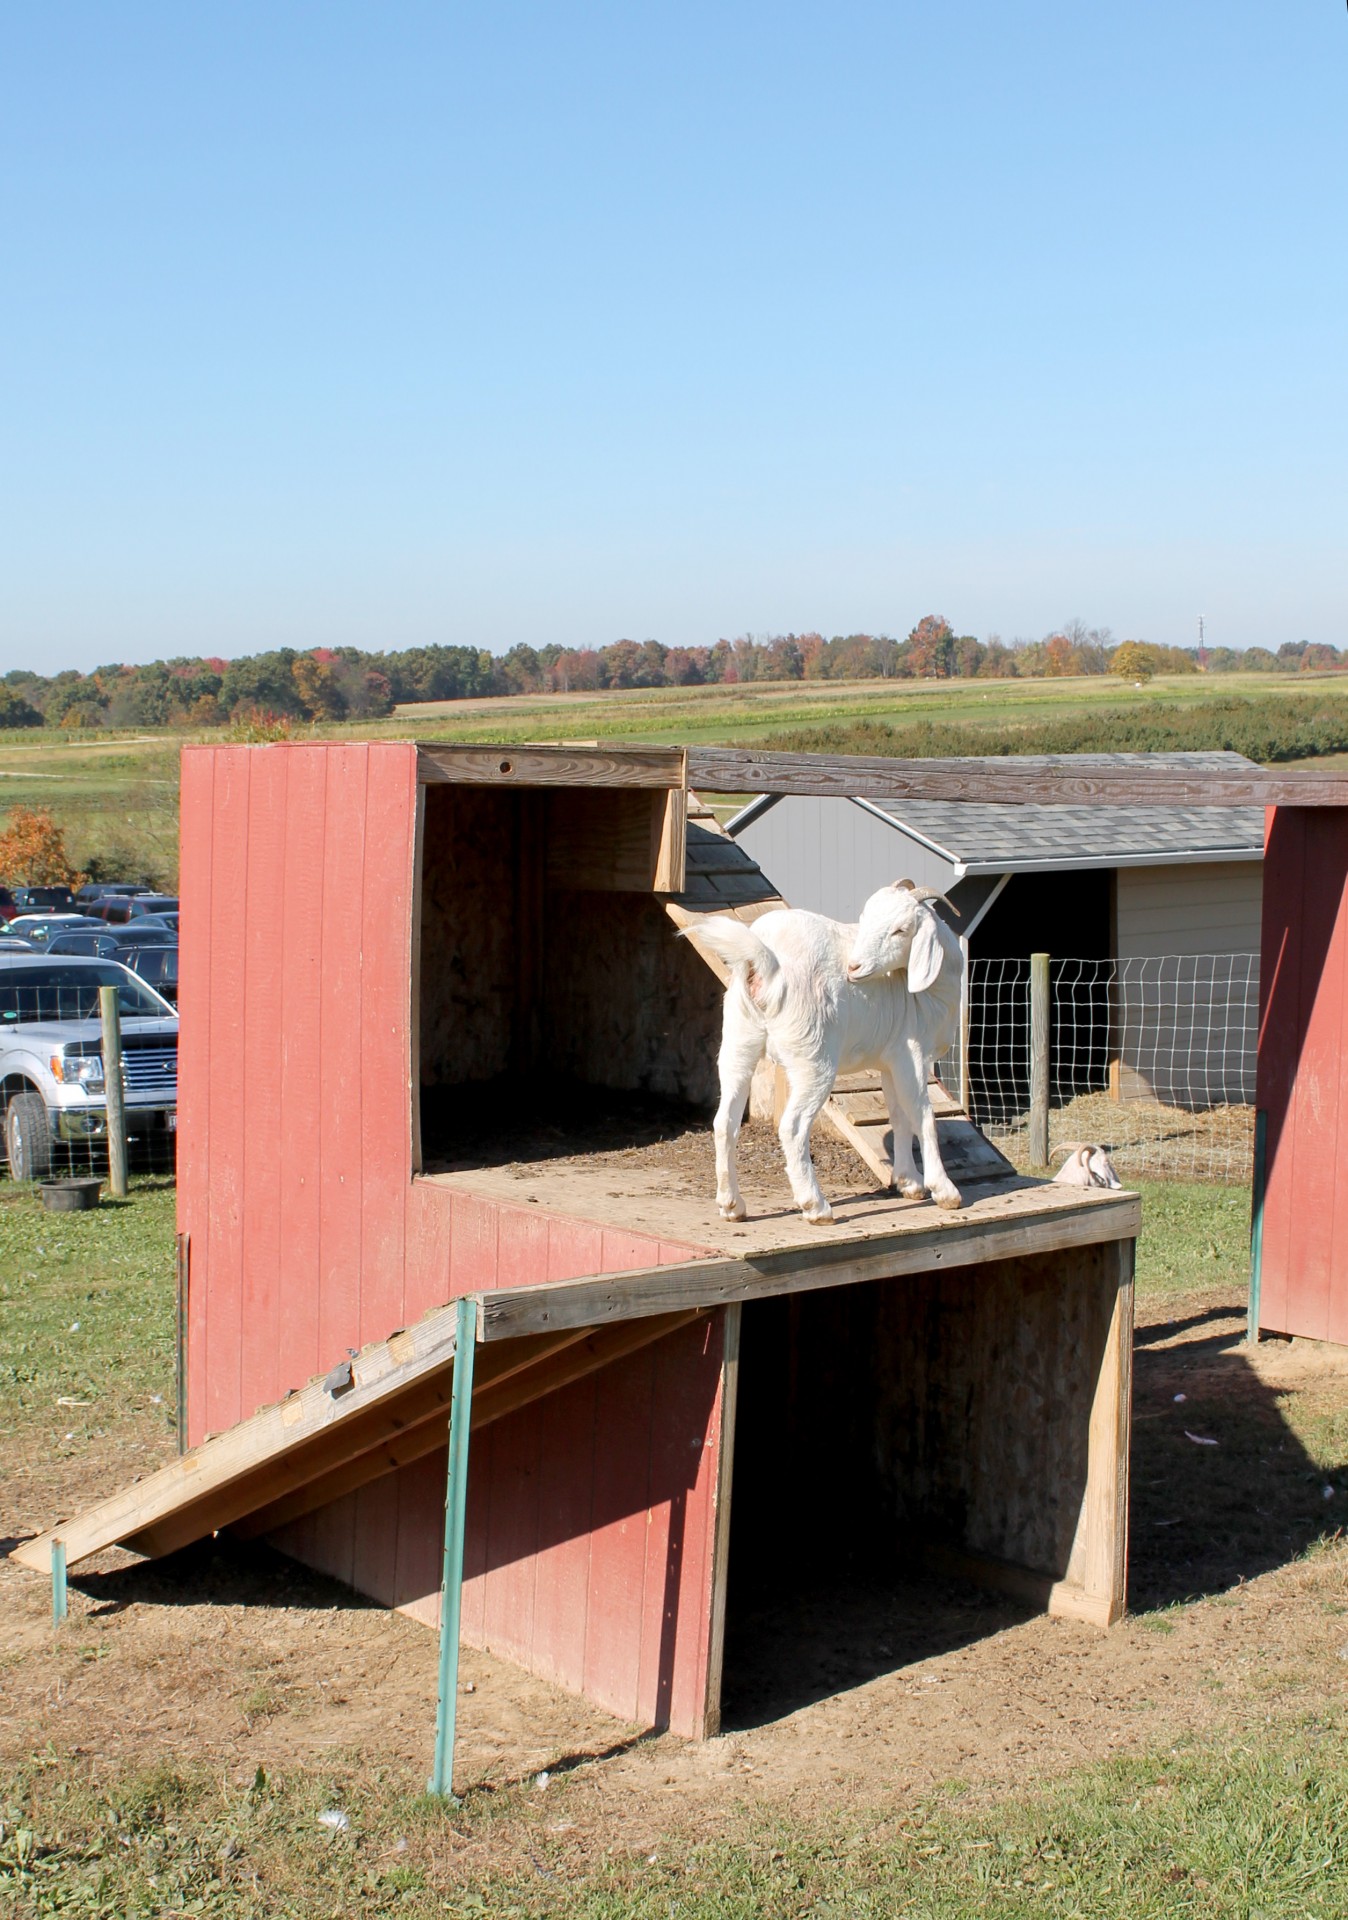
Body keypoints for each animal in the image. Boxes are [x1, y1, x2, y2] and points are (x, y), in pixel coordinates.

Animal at [679, 883, 967, 1228]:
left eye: (901, 930)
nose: (854, 968)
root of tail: (767, 962)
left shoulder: (890, 1061)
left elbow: (898, 1116)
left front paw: (909, 1182)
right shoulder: (912, 1054)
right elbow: (923, 1116)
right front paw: (944, 1190)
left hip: (739, 1041)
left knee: (725, 1122)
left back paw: (732, 1205)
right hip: (812, 1057)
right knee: (792, 1126)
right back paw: (815, 1206)